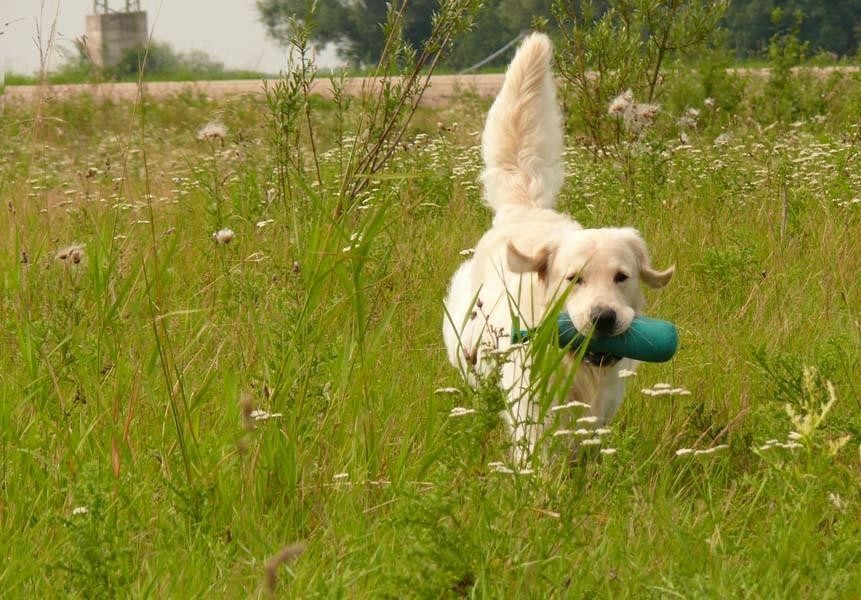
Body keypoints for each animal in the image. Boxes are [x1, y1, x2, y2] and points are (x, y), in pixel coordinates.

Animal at [444, 32, 672, 462]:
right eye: (573, 279)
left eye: (621, 277)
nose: (603, 317)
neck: (580, 364)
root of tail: (524, 209)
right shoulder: (530, 404)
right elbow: (535, 452)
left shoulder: (601, 408)